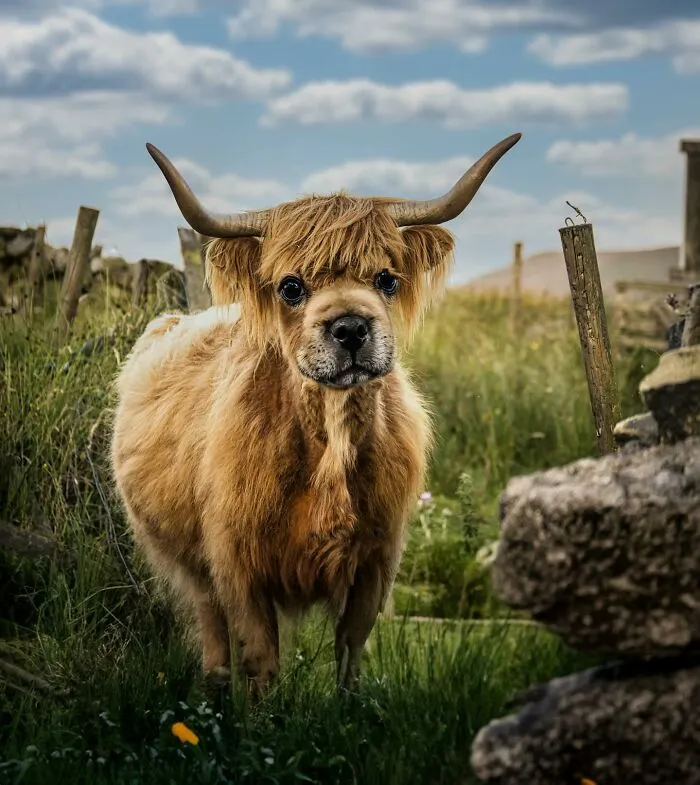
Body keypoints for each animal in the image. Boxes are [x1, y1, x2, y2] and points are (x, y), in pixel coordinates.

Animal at [110, 132, 521, 697]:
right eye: (290, 286)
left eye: (387, 279)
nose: (350, 328)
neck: (330, 439)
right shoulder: (236, 561)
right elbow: (261, 659)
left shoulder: (377, 558)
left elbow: (351, 647)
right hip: (185, 560)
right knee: (211, 627)